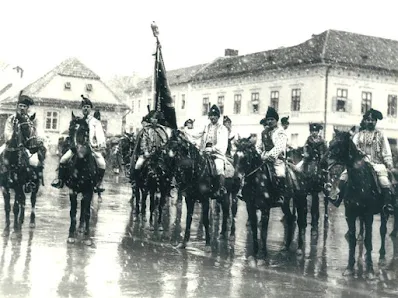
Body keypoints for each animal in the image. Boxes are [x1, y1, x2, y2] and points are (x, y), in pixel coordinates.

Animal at [63, 113, 99, 246]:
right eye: (70, 129)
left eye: (83, 130)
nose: (73, 148)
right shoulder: (72, 191)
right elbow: (73, 212)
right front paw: (71, 235)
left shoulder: (88, 191)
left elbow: (87, 212)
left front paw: (87, 238)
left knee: (84, 209)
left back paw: (82, 229)